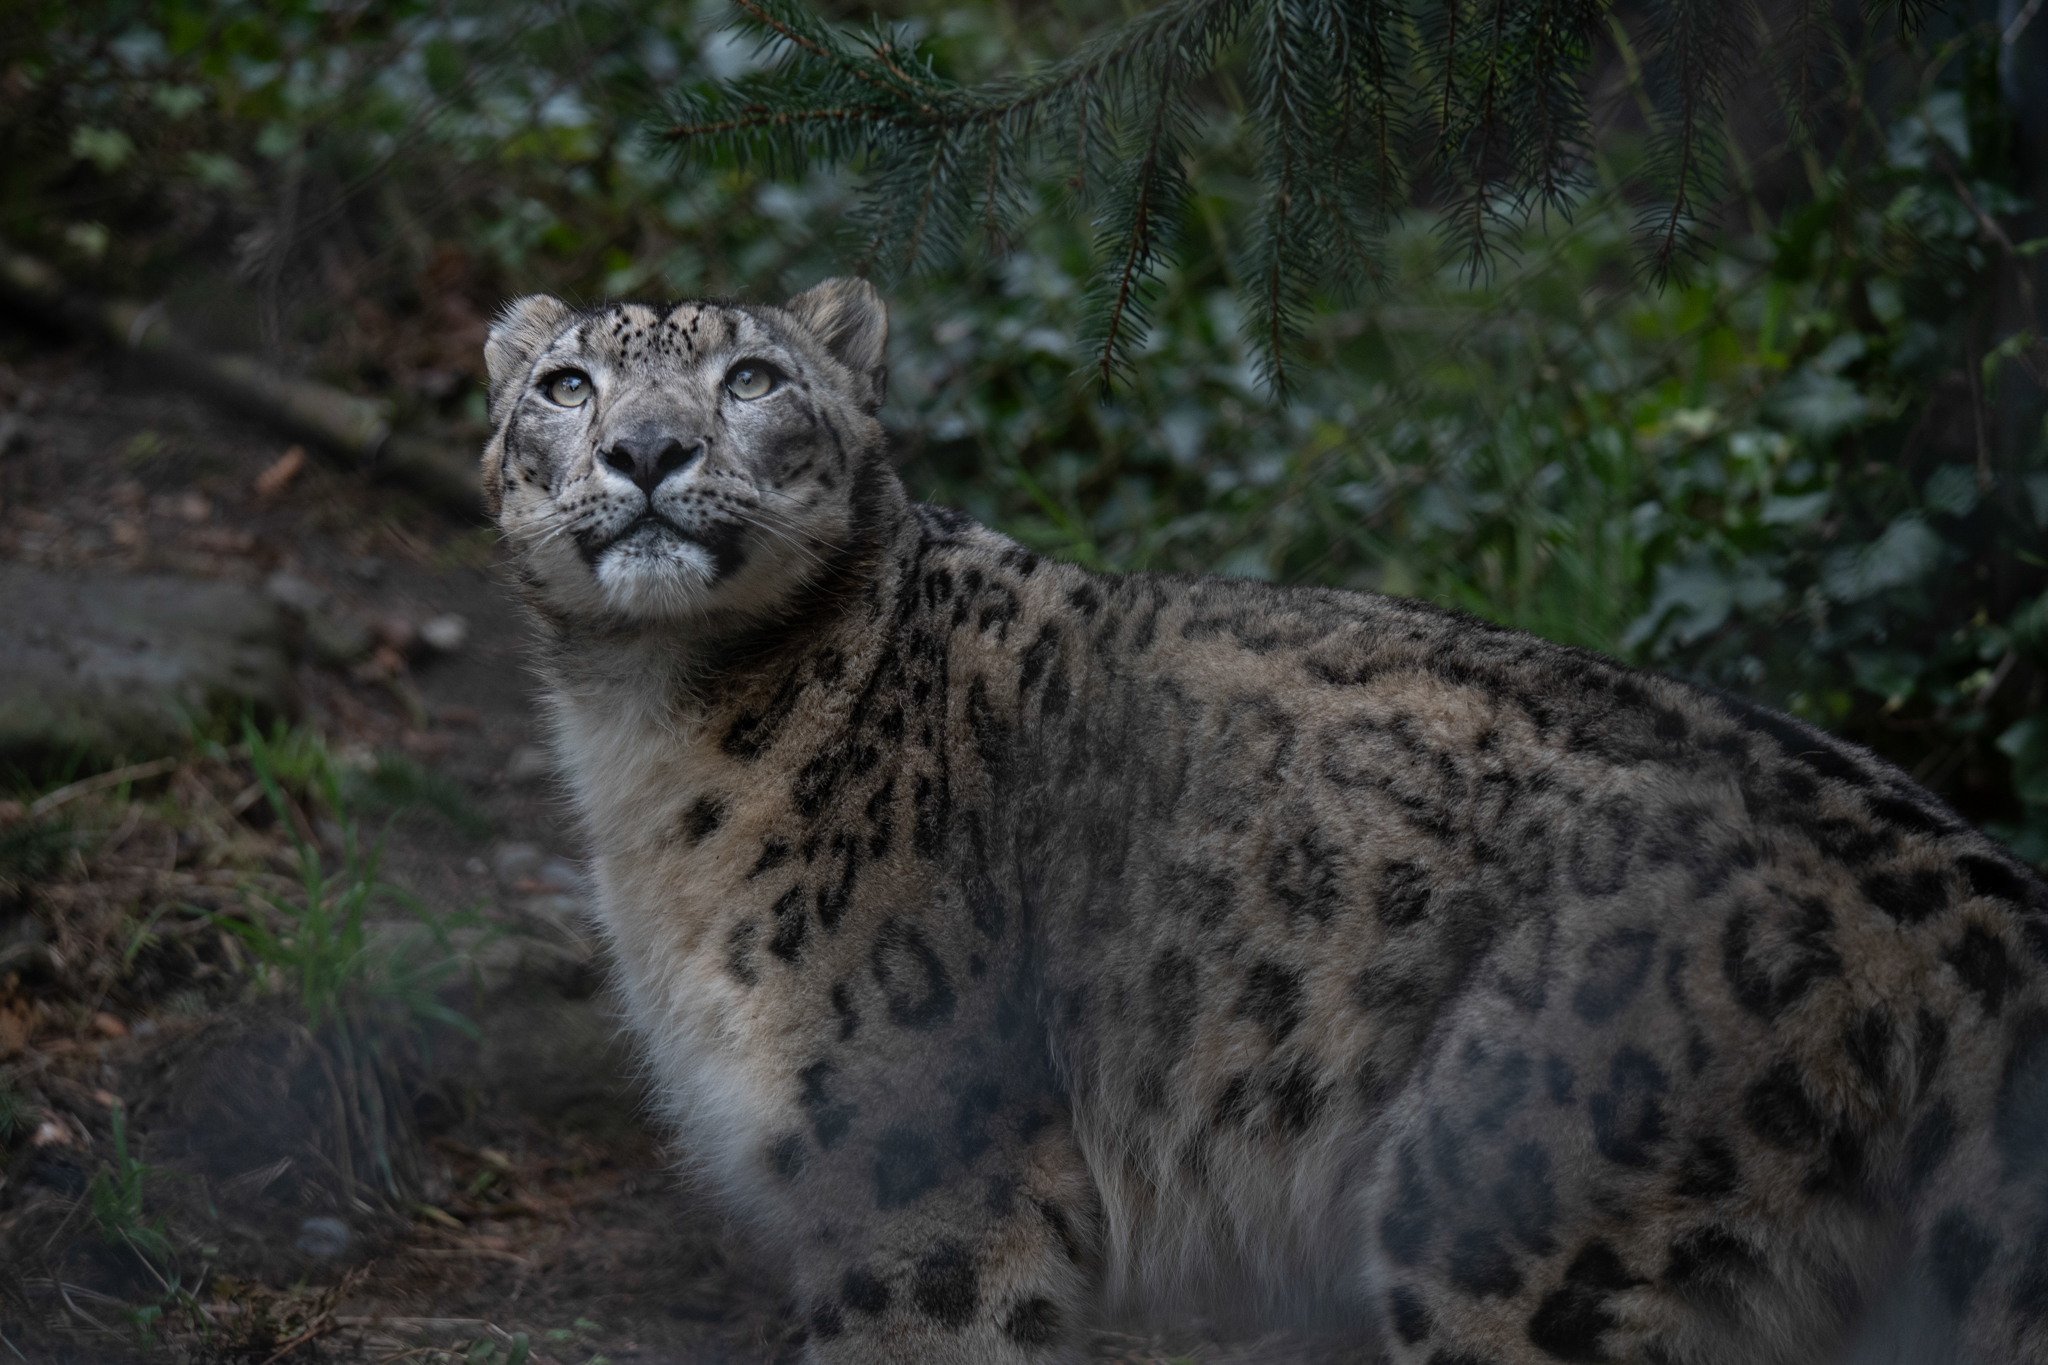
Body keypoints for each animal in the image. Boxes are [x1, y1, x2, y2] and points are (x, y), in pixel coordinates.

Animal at [479, 276, 2048, 1365]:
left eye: (749, 376)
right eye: (564, 383)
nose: (648, 452)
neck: (650, 736)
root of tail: (1970, 896)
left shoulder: (919, 1185)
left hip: (1525, 1234)